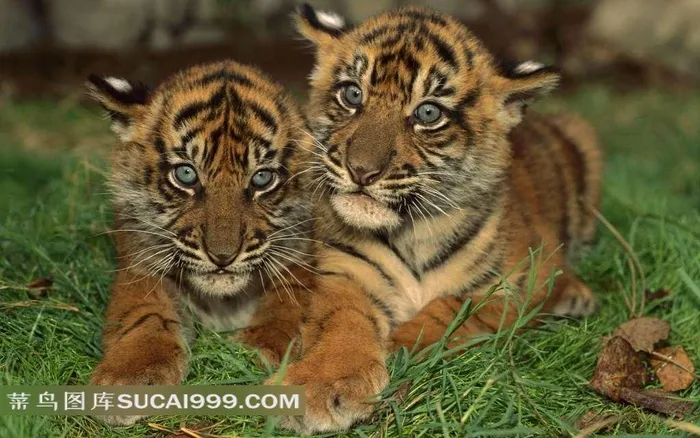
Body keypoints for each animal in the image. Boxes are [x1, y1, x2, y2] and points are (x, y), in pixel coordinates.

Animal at [86, 60, 316, 425]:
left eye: (262, 178)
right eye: (186, 175)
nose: (223, 257)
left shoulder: (302, 261)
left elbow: (285, 306)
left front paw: (258, 349)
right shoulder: (140, 266)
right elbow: (144, 315)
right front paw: (128, 377)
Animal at [243, 4, 603, 434]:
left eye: (428, 113)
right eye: (352, 94)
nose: (361, 171)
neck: (413, 231)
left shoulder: (515, 285)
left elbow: (450, 310)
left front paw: (398, 346)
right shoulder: (346, 274)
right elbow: (342, 324)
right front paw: (318, 385)